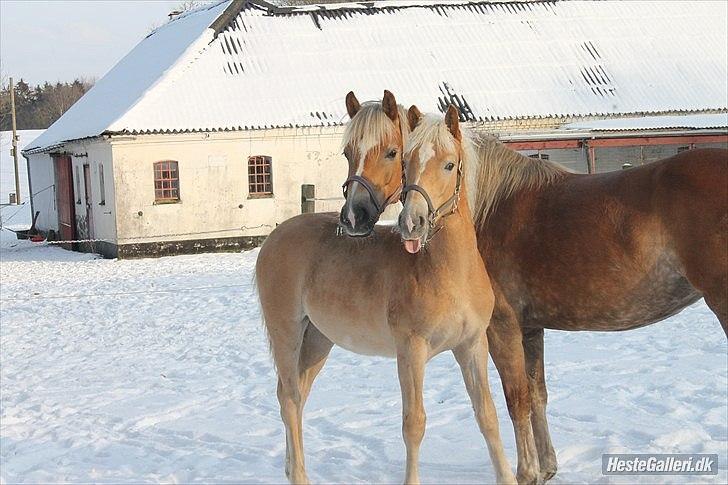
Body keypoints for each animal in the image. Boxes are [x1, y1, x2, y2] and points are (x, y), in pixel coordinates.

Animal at [256, 94, 516, 484]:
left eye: (450, 165)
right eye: (406, 161)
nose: (413, 223)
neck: (449, 271)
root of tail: (273, 237)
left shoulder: (472, 346)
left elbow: (487, 415)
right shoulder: (411, 351)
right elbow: (414, 424)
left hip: (317, 341)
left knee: (296, 394)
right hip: (286, 332)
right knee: (289, 399)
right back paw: (299, 474)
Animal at [342, 92, 728, 482]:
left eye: (391, 152)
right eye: (348, 152)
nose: (355, 216)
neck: (491, 207)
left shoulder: (501, 328)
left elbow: (517, 398)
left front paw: (526, 472)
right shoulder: (531, 328)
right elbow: (537, 394)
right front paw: (548, 466)